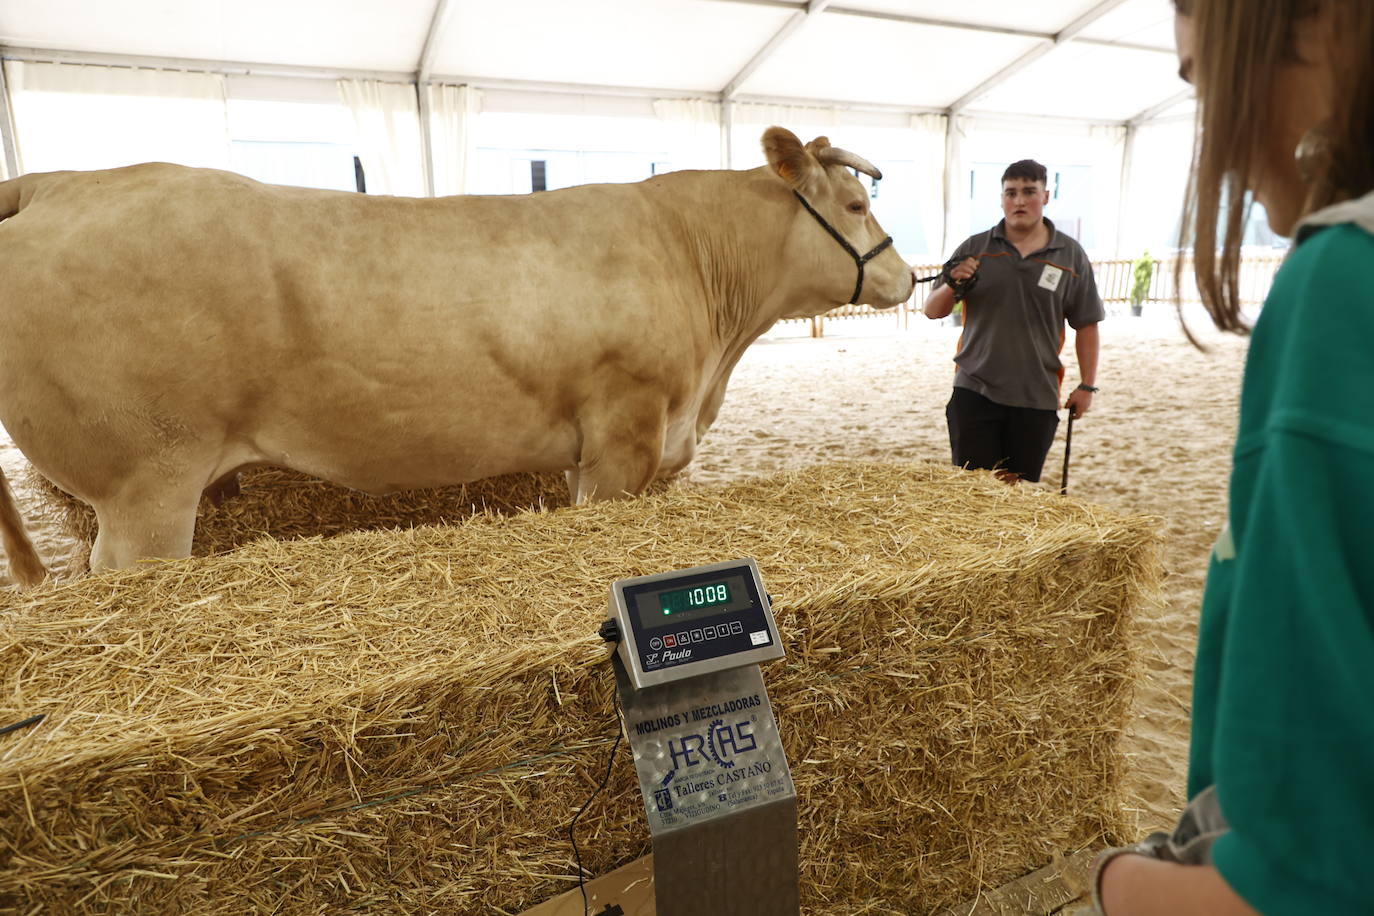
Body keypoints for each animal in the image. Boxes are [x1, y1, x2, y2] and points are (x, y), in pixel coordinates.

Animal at [2, 123, 923, 587]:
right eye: (854, 203)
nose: (908, 276)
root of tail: (64, 180)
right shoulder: (626, 431)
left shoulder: (588, 448)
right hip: (145, 487)